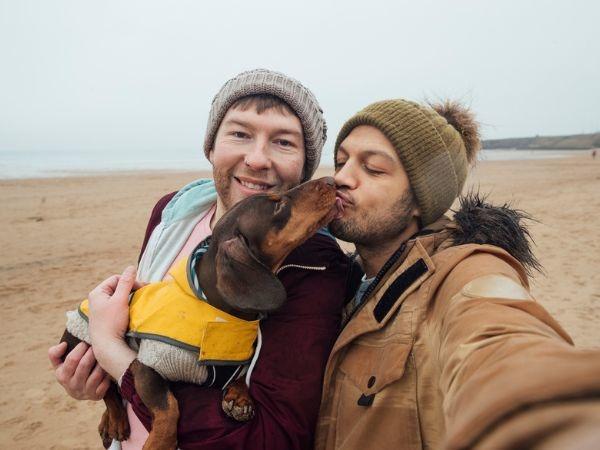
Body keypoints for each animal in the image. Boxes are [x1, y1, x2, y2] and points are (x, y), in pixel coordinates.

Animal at [59, 178, 340, 450]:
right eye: (277, 205)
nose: (331, 181)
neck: (219, 314)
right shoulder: (145, 365)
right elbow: (169, 405)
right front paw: (160, 442)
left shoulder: (237, 364)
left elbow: (241, 376)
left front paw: (239, 397)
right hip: (81, 345)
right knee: (109, 389)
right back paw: (116, 419)